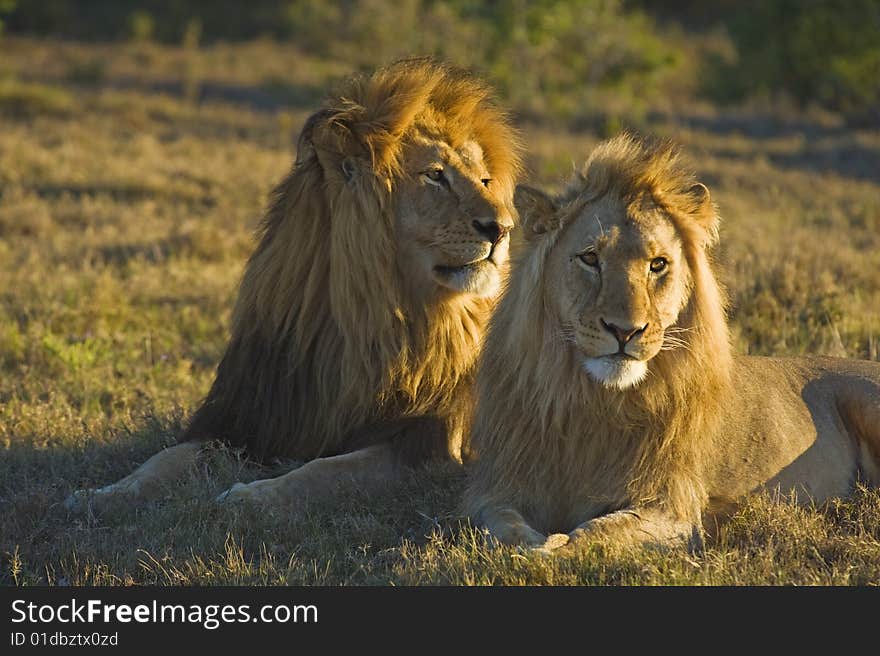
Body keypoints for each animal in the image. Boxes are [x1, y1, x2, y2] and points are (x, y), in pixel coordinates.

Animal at [70, 60, 524, 512]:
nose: (502, 228)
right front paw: (103, 493)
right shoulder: (250, 417)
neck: (368, 322)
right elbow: (163, 458)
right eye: (435, 175)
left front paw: (250, 494)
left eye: (484, 181)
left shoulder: (425, 449)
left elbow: (324, 471)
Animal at [464, 132, 876, 548]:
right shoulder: (504, 488)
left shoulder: (671, 506)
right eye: (590, 258)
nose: (624, 331)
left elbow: (598, 532)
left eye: (658, 264)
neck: (592, 401)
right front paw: (532, 545)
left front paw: (555, 547)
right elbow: (501, 524)